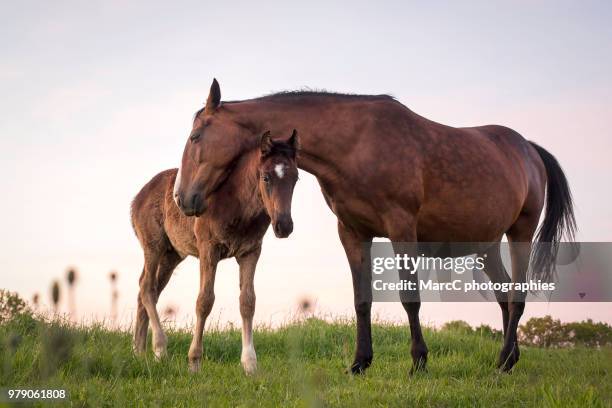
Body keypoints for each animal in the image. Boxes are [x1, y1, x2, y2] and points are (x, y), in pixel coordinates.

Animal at [131, 130, 298, 372]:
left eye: (296, 178)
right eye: (266, 177)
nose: (284, 226)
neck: (236, 202)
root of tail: (137, 198)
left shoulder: (250, 252)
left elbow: (248, 301)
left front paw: (250, 364)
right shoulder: (208, 249)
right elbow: (205, 301)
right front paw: (194, 362)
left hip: (172, 255)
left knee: (147, 289)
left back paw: (139, 351)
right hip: (154, 246)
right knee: (147, 288)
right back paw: (160, 348)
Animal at [175, 79, 576, 372]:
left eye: (195, 137)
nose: (183, 198)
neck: (357, 144)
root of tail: (529, 150)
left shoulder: (402, 230)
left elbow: (410, 298)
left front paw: (418, 362)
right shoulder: (353, 233)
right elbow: (361, 299)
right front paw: (360, 363)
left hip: (519, 233)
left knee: (518, 295)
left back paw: (503, 362)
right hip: (486, 245)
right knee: (505, 294)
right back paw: (510, 358)